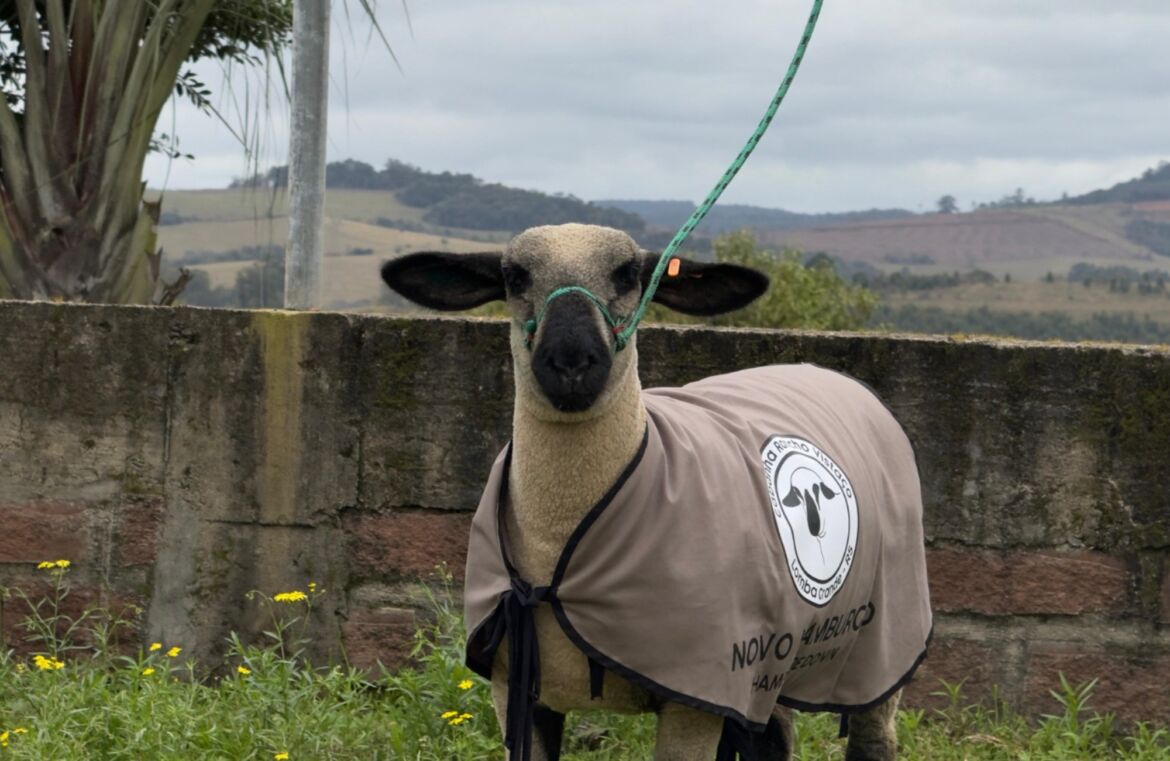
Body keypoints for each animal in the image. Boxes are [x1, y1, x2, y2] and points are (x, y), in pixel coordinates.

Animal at [381, 223, 932, 761]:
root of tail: (826, 373)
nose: (571, 363)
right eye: (515, 277)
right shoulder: (516, 690)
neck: (558, 546)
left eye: (628, 274)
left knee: (872, 736)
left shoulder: (699, 690)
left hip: (884, 637)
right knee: (772, 736)